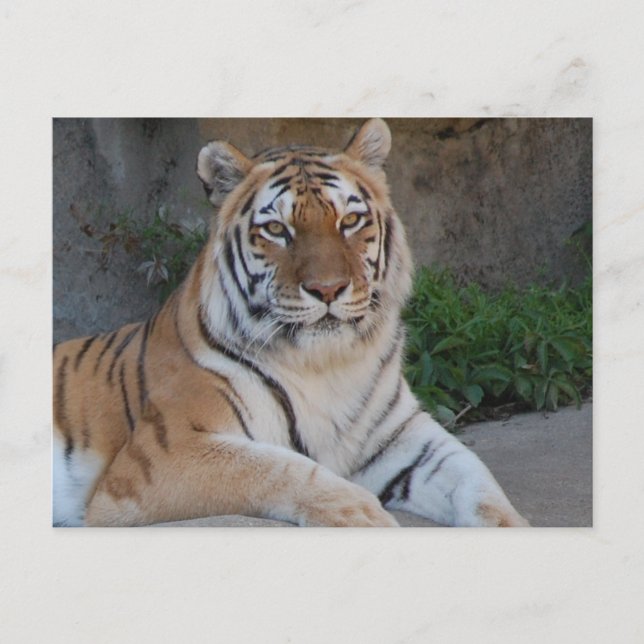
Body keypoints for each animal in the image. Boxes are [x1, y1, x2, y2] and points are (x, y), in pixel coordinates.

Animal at [53, 118, 529, 527]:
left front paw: (510, 525)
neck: (326, 364)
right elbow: (278, 467)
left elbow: (476, 478)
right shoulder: (165, 456)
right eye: (277, 230)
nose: (328, 289)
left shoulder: (403, 437)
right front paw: (362, 513)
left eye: (349, 220)